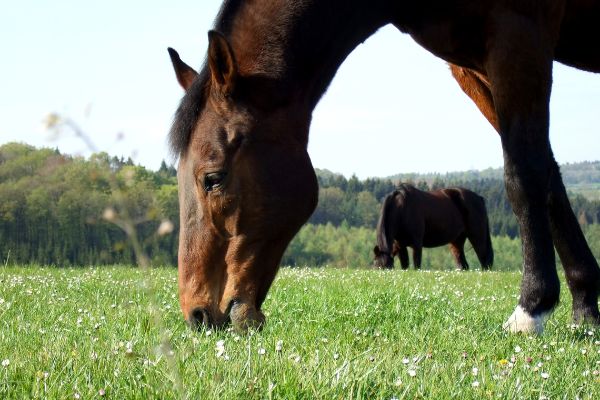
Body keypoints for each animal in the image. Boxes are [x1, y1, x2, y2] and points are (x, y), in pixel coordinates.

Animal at [168, 0, 600, 334]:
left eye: (212, 178)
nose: (197, 314)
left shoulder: (519, 36)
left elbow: (524, 174)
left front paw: (533, 308)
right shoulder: (475, 68)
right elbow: (549, 178)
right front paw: (583, 305)